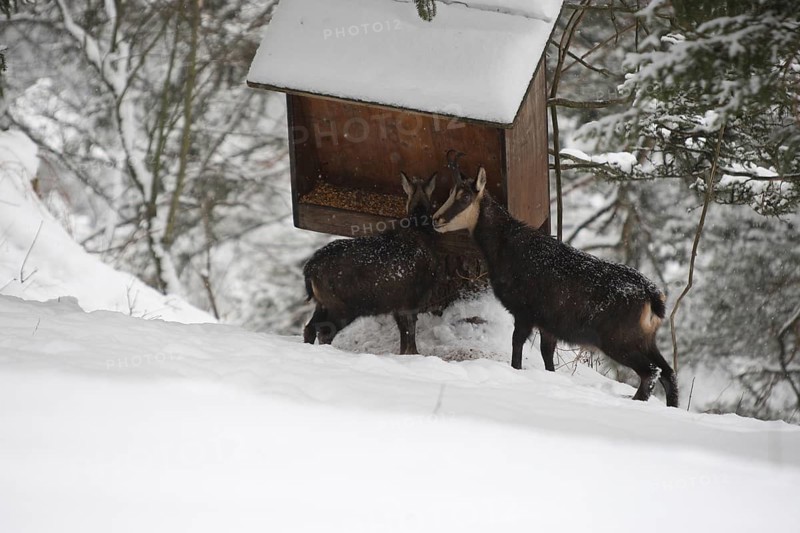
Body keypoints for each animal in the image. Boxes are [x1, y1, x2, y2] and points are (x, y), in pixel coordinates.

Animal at [302, 172, 439, 354]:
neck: (420, 230)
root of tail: (309, 269)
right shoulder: (412, 298)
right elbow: (410, 336)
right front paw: (415, 355)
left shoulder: (398, 303)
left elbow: (404, 337)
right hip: (341, 305)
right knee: (324, 332)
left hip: (322, 302)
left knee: (309, 328)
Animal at [431, 154, 678, 407]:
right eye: (450, 192)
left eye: (464, 197)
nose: (435, 219)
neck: (505, 246)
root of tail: (652, 296)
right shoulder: (548, 323)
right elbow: (547, 355)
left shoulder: (525, 312)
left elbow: (517, 346)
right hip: (646, 339)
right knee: (668, 372)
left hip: (618, 339)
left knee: (651, 371)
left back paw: (636, 400)